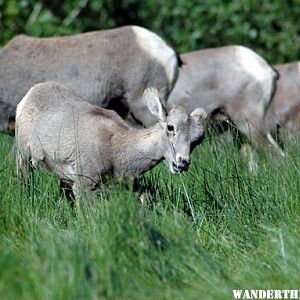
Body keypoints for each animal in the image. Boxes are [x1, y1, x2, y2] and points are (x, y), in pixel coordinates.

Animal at [16, 83, 207, 198]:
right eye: (170, 127)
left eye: (199, 139)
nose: (182, 163)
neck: (117, 151)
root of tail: (30, 94)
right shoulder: (85, 185)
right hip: (22, 155)